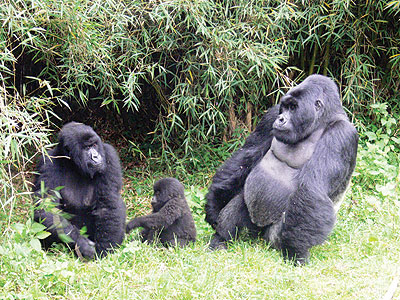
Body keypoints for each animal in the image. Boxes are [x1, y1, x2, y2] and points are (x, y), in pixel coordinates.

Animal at [33, 122, 126, 258]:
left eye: (94, 145)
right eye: (87, 148)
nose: (96, 156)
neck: (73, 164)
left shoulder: (109, 155)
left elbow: (107, 205)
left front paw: (104, 249)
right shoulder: (47, 163)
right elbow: (46, 208)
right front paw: (83, 244)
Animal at [206, 75, 360, 264]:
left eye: (293, 107)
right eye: (284, 107)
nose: (281, 119)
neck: (321, 121)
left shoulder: (340, 135)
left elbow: (311, 189)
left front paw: (295, 251)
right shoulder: (271, 115)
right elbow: (247, 156)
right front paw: (214, 204)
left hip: (273, 236)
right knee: (241, 202)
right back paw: (220, 239)